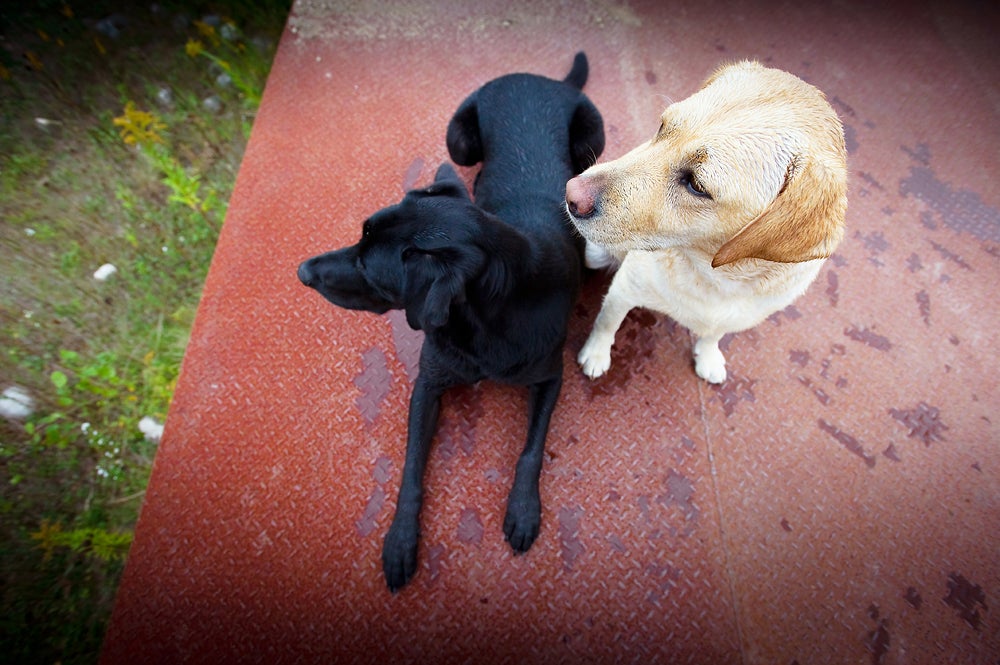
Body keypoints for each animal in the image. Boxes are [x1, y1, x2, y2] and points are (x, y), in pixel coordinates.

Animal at [296, 53, 604, 592]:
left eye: (366, 267)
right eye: (359, 236)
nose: (302, 272)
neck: (482, 320)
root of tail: (541, 78)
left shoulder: (550, 378)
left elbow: (532, 450)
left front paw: (523, 510)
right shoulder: (429, 384)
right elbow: (411, 467)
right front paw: (401, 539)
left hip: (594, 137)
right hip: (458, 138)